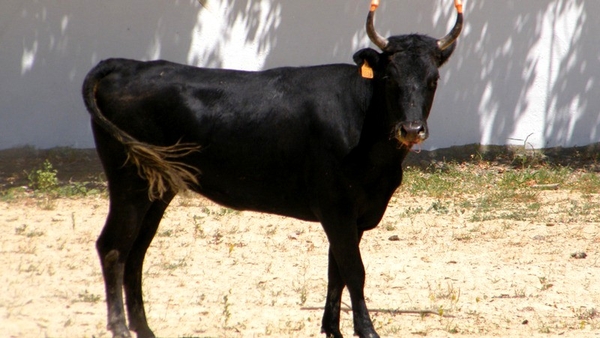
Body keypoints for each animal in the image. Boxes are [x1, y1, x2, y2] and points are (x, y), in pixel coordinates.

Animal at [82, 0, 462, 338]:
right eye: (388, 79)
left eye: (433, 80)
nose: (411, 129)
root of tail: (126, 65)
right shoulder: (336, 207)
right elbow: (354, 270)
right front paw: (366, 331)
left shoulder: (354, 214)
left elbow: (335, 270)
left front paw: (332, 329)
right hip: (129, 182)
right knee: (114, 247)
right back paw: (120, 328)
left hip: (157, 189)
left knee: (136, 252)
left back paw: (144, 328)